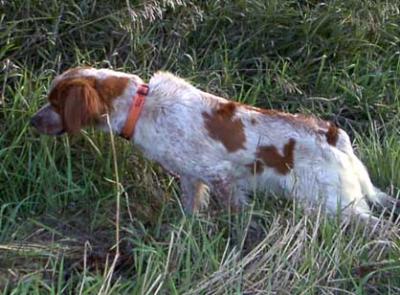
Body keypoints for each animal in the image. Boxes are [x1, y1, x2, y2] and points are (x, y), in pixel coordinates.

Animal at [30, 67, 394, 222]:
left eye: (56, 103)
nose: (32, 121)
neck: (142, 106)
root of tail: (334, 135)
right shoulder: (192, 177)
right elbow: (190, 211)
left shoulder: (221, 176)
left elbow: (238, 221)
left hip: (333, 204)